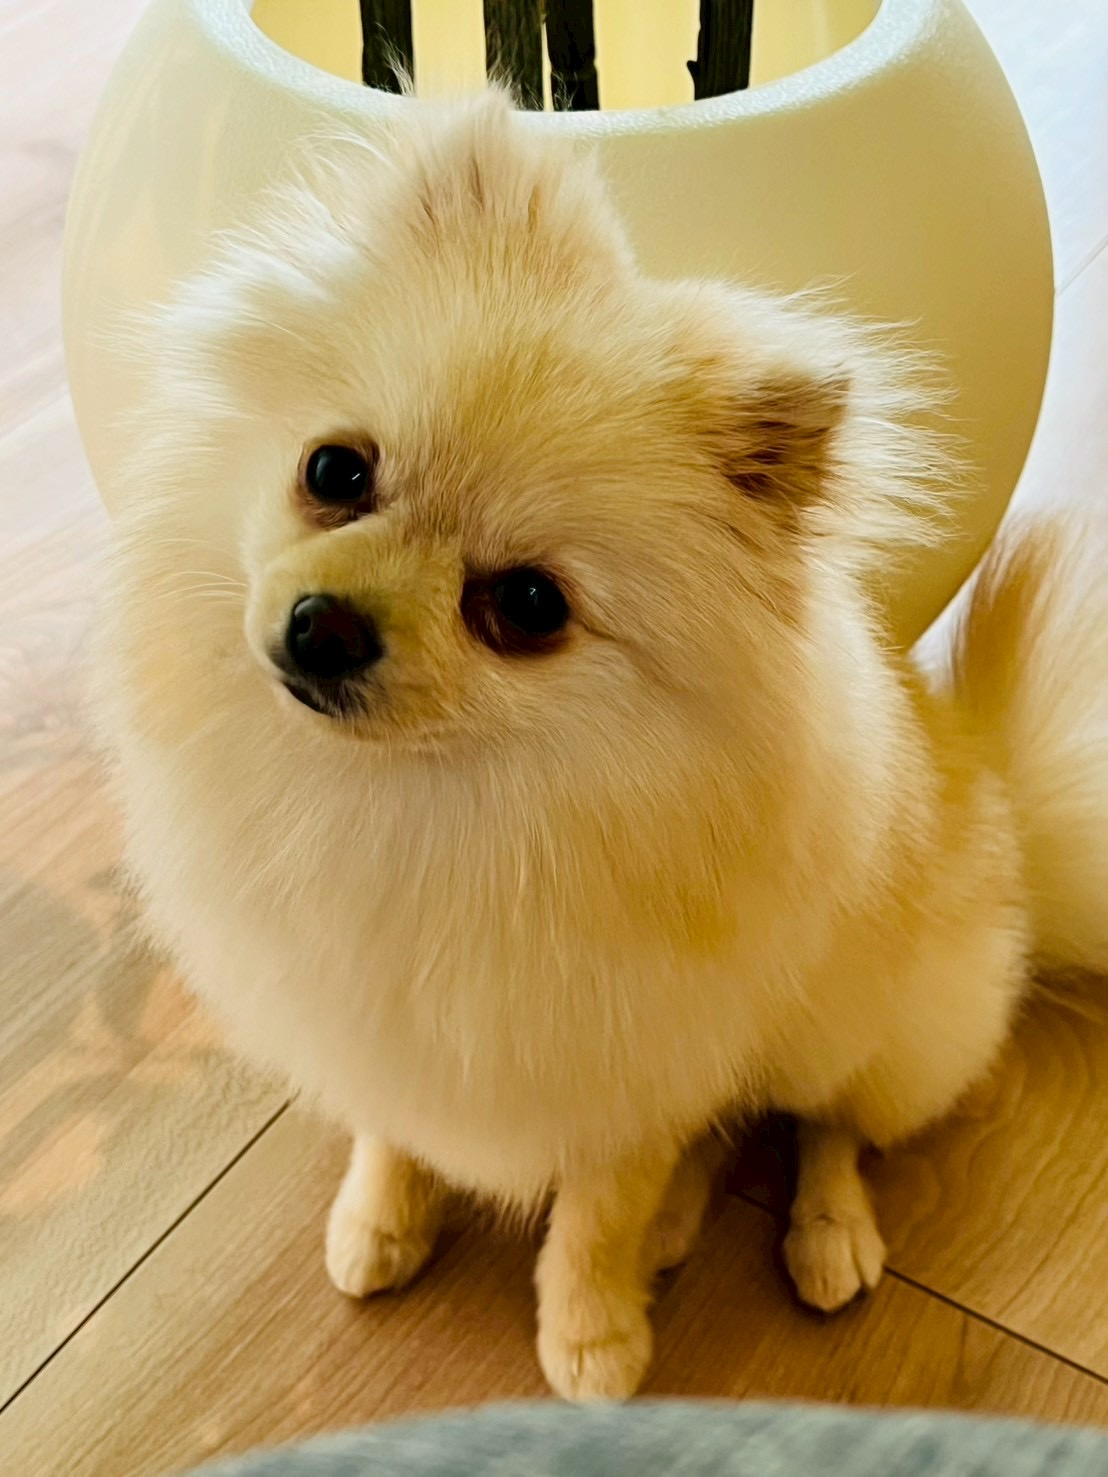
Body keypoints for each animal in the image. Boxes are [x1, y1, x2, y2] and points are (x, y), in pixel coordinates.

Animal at [92, 92, 1108, 1401]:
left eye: (526, 606)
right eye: (335, 470)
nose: (325, 626)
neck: (424, 802)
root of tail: (1003, 805)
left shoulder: (634, 1072)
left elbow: (594, 1219)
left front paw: (589, 1336)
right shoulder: (361, 1015)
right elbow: (393, 1126)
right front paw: (381, 1217)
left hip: (872, 1028)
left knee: (829, 1122)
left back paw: (824, 1231)